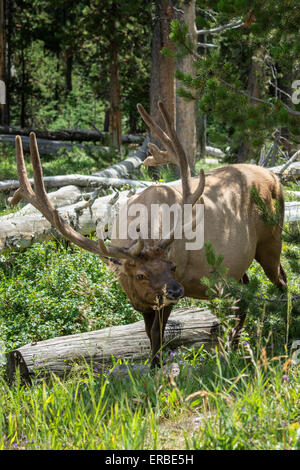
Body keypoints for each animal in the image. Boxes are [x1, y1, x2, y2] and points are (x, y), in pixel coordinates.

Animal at [8, 102, 286, 368]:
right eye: (140, 275)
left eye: (173, 266)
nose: (176, 290)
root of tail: (275, 176)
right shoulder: (139, 298)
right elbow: (148, 333)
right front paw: (153, 363)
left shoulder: (165, 297)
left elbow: (157, 333)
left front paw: (156, 366)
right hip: (236, 269)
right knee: (244, 294)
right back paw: (233, 345)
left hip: (271, 240)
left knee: (282, 280)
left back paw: (283, 329)